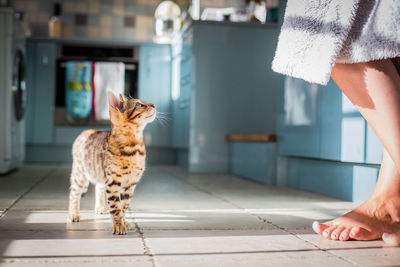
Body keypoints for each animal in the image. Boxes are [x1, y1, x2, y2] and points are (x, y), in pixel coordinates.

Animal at [68, 92, 155, 234]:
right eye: (139, 104)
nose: (154, 105)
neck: (135, 148)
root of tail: (86, 130)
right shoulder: (113, 181)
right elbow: (115, 206)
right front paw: (118, 225)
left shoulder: (129, 185)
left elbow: (124, 206)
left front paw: (123, 221)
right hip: (80, 175)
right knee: (74, 194)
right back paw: (73, 214)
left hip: (101, 174)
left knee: (99, 187)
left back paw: (100, 207)